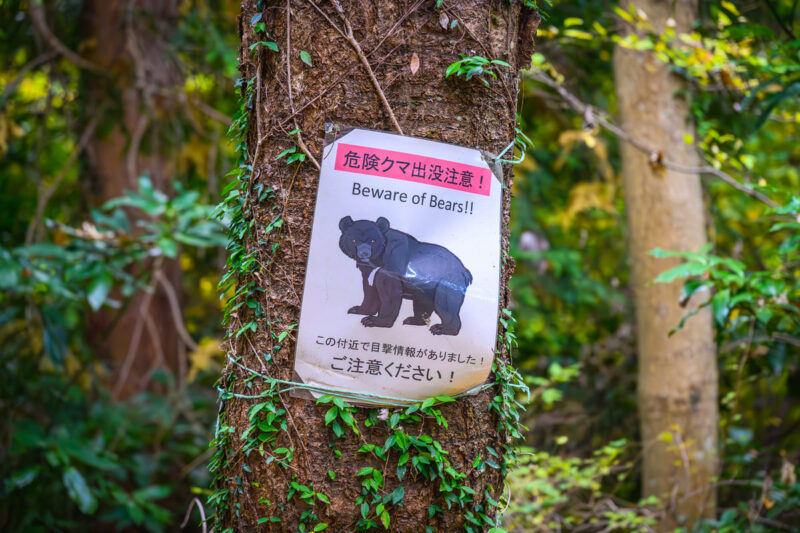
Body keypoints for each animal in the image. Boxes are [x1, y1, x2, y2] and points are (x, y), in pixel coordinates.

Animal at [338, 216, 472, 336]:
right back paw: (413, 320)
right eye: (354, 240)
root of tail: (465, 271)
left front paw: (373, 320)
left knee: (446, 303)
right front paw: (357, 309)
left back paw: (441, 329)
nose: (364, 253)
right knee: (422, 303)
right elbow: (370, 289)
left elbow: (389, 292)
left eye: (372, 241)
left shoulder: (393, 262)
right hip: (425, 288)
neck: (379, 259)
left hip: (448, 281)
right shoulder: (369, 271)